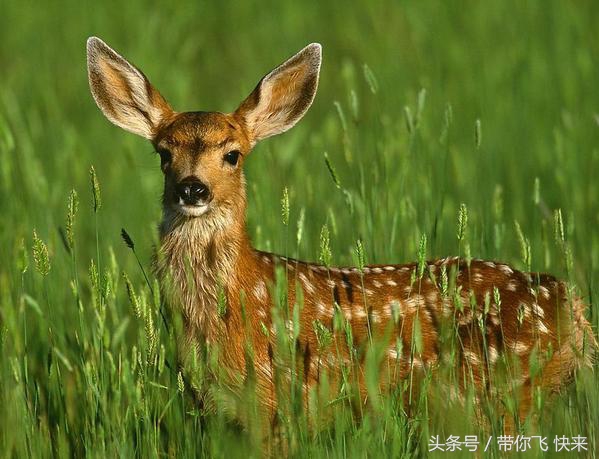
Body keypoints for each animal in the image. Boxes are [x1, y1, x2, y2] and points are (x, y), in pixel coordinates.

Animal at [86, 36, 596, 434]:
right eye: (163, 154)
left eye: (232, 154)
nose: (193, 188)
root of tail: (569, 302)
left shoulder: (276, 401)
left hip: (500, 391)